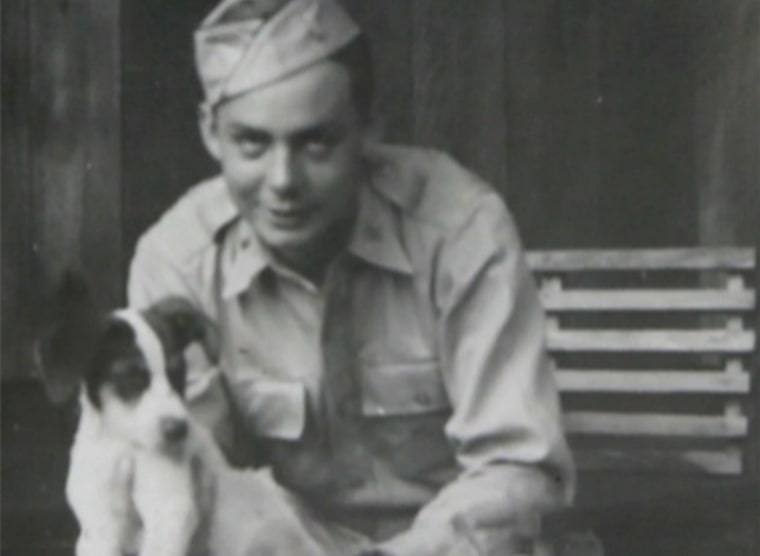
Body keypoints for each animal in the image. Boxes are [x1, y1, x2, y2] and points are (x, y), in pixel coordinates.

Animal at [35, 274, 326, 556]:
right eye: (131, 376)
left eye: (178, 373)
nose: (178, 430)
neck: (125, 446)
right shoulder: (99, 527)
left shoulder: (170, 511)